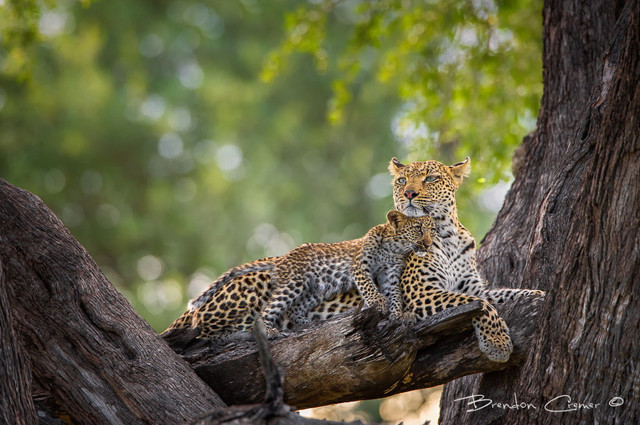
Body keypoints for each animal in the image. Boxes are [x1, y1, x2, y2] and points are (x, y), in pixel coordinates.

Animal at [162, 210, 432, 340]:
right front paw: (377, 302)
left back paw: (306, 323)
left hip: (314, 289)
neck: (395, 248)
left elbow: (394, 295)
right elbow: (367, 285)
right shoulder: (360, 265)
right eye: (419, 228)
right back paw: (267, 331)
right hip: (293, 283)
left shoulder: (390, 274)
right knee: (260, 312)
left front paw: (398, 314)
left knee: (294, 310)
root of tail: (283, 258)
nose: (429, 244)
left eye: (431, 230)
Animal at [308, 157, 544, 362]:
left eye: (430, 178)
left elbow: (504, 294)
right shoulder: (421, 292)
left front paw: (538, 294)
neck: (447, 235)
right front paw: (497, 342)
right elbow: (481, 304)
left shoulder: (473, 287)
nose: (409, 193)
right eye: (402, 180)